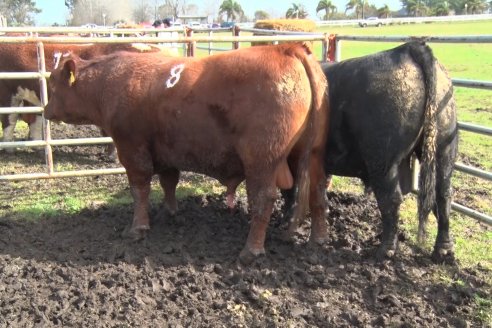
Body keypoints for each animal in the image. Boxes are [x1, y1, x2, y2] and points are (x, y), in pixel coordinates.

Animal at [45, 43, 330, 262]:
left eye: (53, 86)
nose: (46, 111)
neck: (111, 82)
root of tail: (288, 48)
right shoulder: (168, 151)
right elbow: (169, 182)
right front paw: (170, 212)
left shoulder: (132, 149)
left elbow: (139, 189)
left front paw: (137, 228)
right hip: (313, 157)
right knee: (317, 195)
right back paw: (317, 240)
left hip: (261, 160)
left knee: (263, 199)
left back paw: (251, 251)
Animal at [284, 41, 458, 262]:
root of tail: (407, 49)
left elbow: (291, 189)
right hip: (444, 148)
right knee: (443, 195)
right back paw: (443, 249)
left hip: (382, 159)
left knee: (391, 199)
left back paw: (385, 250)